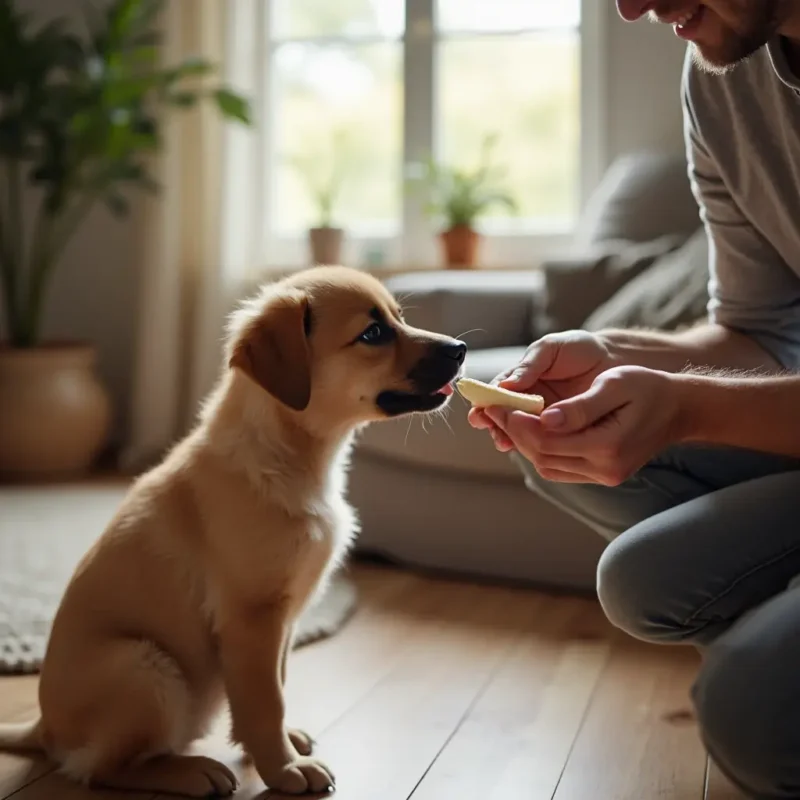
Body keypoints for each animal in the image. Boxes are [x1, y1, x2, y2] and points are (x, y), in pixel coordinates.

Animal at [0, 268, 466, 792]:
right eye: (373, 334)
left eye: (398, 319)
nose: (460, 349)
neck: (290, 458)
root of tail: (42, 727)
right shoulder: (252, 617)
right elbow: (265, 702)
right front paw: (285, 769)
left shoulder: (282, 620)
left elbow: (274, 686)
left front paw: (282, 747)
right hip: (146, 668)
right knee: (99, 769)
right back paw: (189, 772)